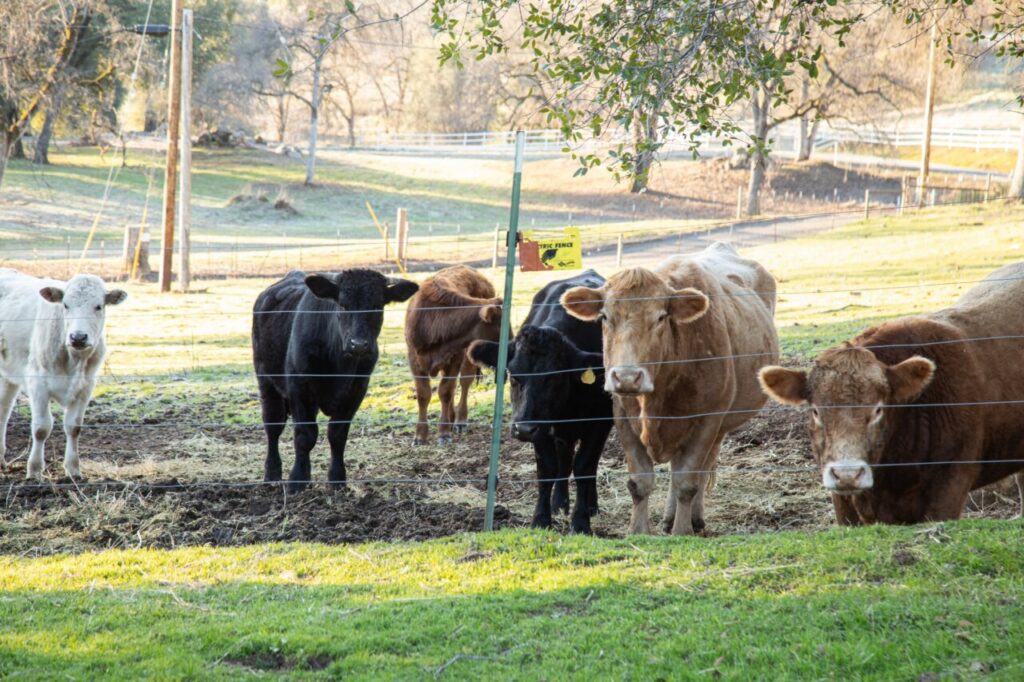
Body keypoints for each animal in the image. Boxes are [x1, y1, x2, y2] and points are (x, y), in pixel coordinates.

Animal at [0, 270, 127, 481]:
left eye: (98, 306)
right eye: (65, 305)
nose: (78, 337)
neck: (73, 360)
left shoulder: (86, 386)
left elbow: (74, 427)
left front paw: (73, 469)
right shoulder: (38, 383)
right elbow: (41, 428)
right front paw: (34, 470)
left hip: (8, 375)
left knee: (3, 410)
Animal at [252, 269, 418, 492]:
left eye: (377, 306)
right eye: (343, 304)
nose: (359, 345)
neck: (339, 365)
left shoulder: (357, 390)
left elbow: (337, 434)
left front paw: (337, 479)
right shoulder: (299, 387)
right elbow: (305, 435)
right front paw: (297, 480)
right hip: (266, 381)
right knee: (273, 426)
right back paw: (272, 475)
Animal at [404, 265, 502, 445]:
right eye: (499, 327)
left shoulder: (455, 359)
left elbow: (446, 392)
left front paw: (443, 433)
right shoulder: (415, 362)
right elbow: (424, 395)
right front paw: (420, 435)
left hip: (468, 358)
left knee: (464, 383)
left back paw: (459, 421)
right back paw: (450, 417)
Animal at [468, 270, 612, 533]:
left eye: (554, 377)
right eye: (514, 375)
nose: (523, 429)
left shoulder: (600, 422)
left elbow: (585, 467)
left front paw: (581, 521)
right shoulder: (542, 429)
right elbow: (547, 469)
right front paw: (541, 518)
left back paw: (591, 505)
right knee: (564, 460)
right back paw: (559, 502)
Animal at [561, 243, 779, 535]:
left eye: (661, 317)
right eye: (605, 316)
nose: (627, 377)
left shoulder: (707, 419)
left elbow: (687, 480)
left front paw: (681, 531)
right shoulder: (623, 416)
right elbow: (640, 482)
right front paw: (638, 531)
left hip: (720, 423)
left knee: (700, 469)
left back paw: (693, 519)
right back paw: (668, 517)